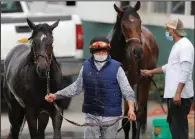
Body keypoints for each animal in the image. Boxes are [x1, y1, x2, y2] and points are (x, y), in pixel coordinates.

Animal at [109, 1, 159, 139]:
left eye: (139, 21)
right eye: (123, 25)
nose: (138, 51)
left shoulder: (130, 83)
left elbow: (128, 119)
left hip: (145, 81)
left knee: (140, 113)